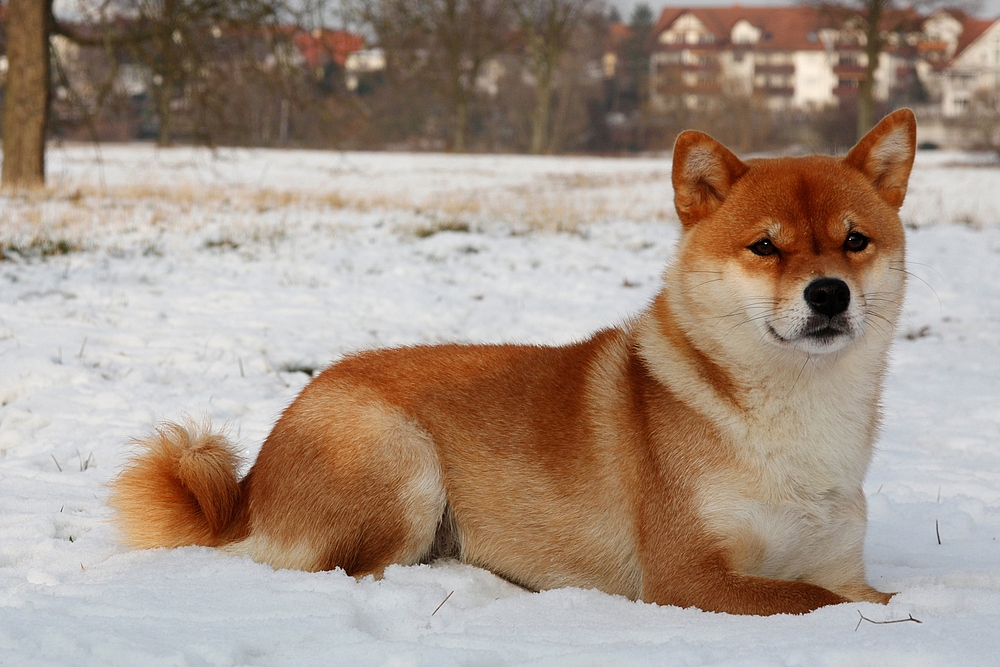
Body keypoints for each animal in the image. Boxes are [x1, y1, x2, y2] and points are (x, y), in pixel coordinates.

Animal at [109, 108, 916, 616]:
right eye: (765, 246)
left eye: (854, 240)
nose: (828, 293)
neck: (797, 417)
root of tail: (249, 484)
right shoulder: (691, 575)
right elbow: (813, 600)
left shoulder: (840, 562)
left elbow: (865, 592)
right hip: (401, 460)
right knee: (354, 572)